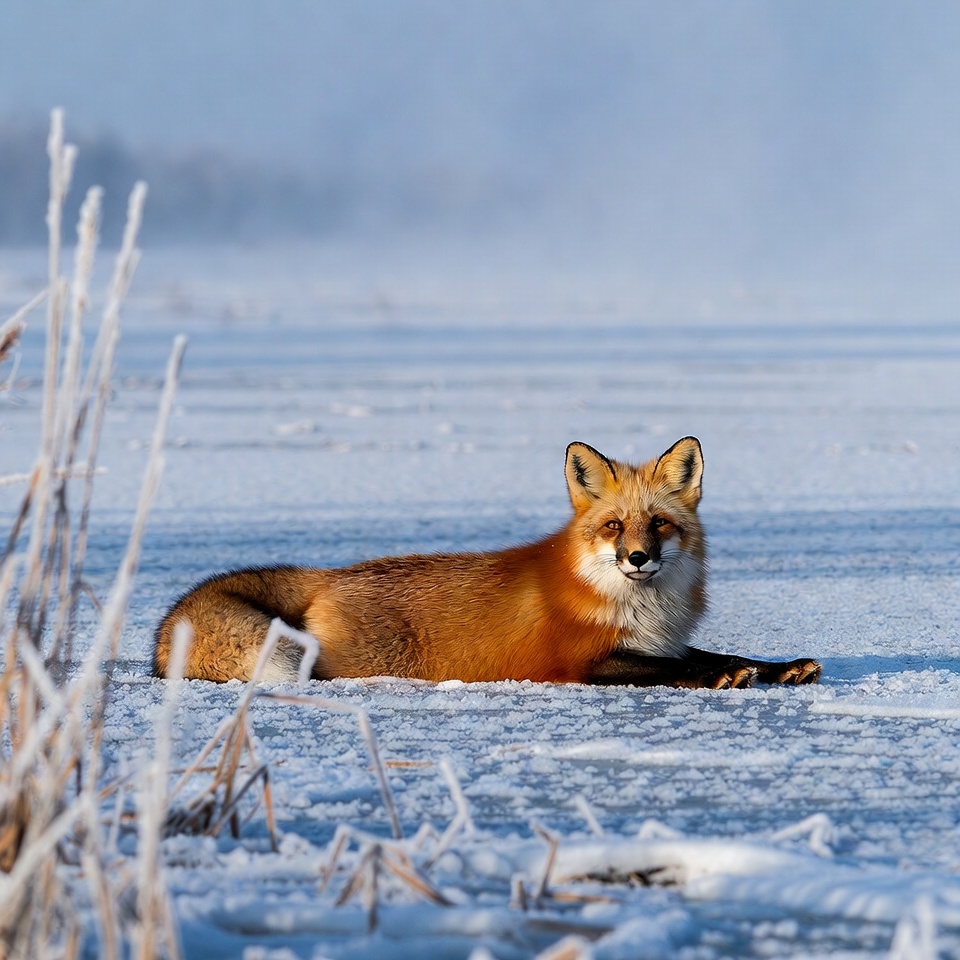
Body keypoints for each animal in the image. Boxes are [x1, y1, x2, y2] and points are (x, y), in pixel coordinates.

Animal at [153, 437, 821, 689]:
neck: (641, 609)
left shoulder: (660, 641)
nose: (637, 558)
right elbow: (676, 669)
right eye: (613, 526)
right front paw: (725, 677)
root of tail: (327, 575)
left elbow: (714, 653)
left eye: (658, 524)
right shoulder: (580, 663)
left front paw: (780, 666)